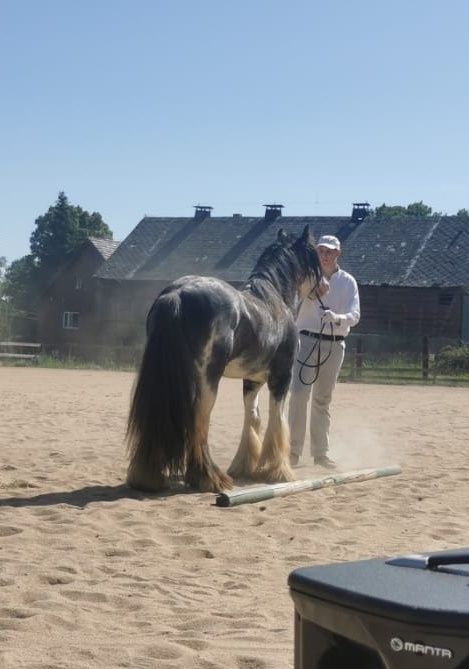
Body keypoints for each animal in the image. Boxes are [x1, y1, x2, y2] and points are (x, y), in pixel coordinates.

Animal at [125, 227, 326, 494]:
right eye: (315, 257)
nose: (325, 286)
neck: (274, 302)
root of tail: (177, 294)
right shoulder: (282, 377)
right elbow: (277, 420)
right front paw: (278, 470)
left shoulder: (252, 380)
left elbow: (253, 419)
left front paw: (244, 467)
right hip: (207, 380)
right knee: (200, 420)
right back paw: (209, 478)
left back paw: (149, 476)